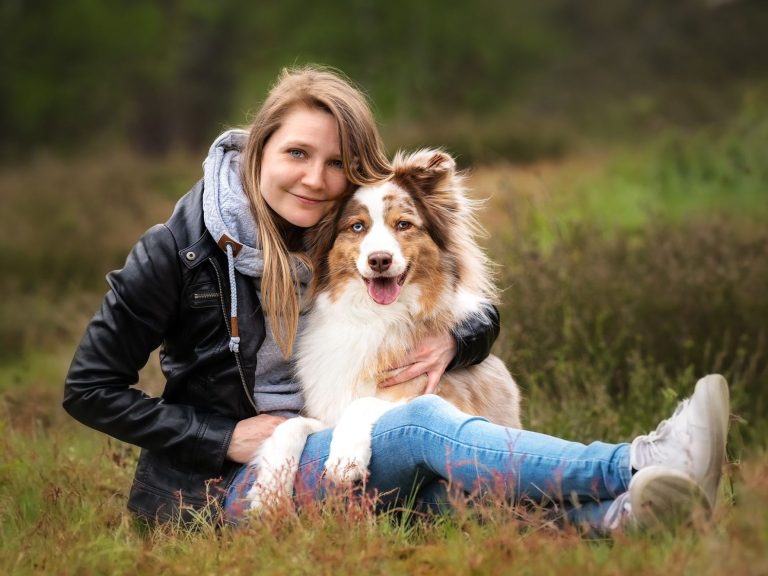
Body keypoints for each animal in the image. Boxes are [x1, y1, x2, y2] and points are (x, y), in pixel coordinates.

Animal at [247, 149, 521, 511]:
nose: (379, 260)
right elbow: (290, 425)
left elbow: (363, 404)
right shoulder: (325, 412)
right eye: (357, 227)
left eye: (403, 224)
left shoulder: (430, 391)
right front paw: (270, 490)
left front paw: (345, 460)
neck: (373, 316)